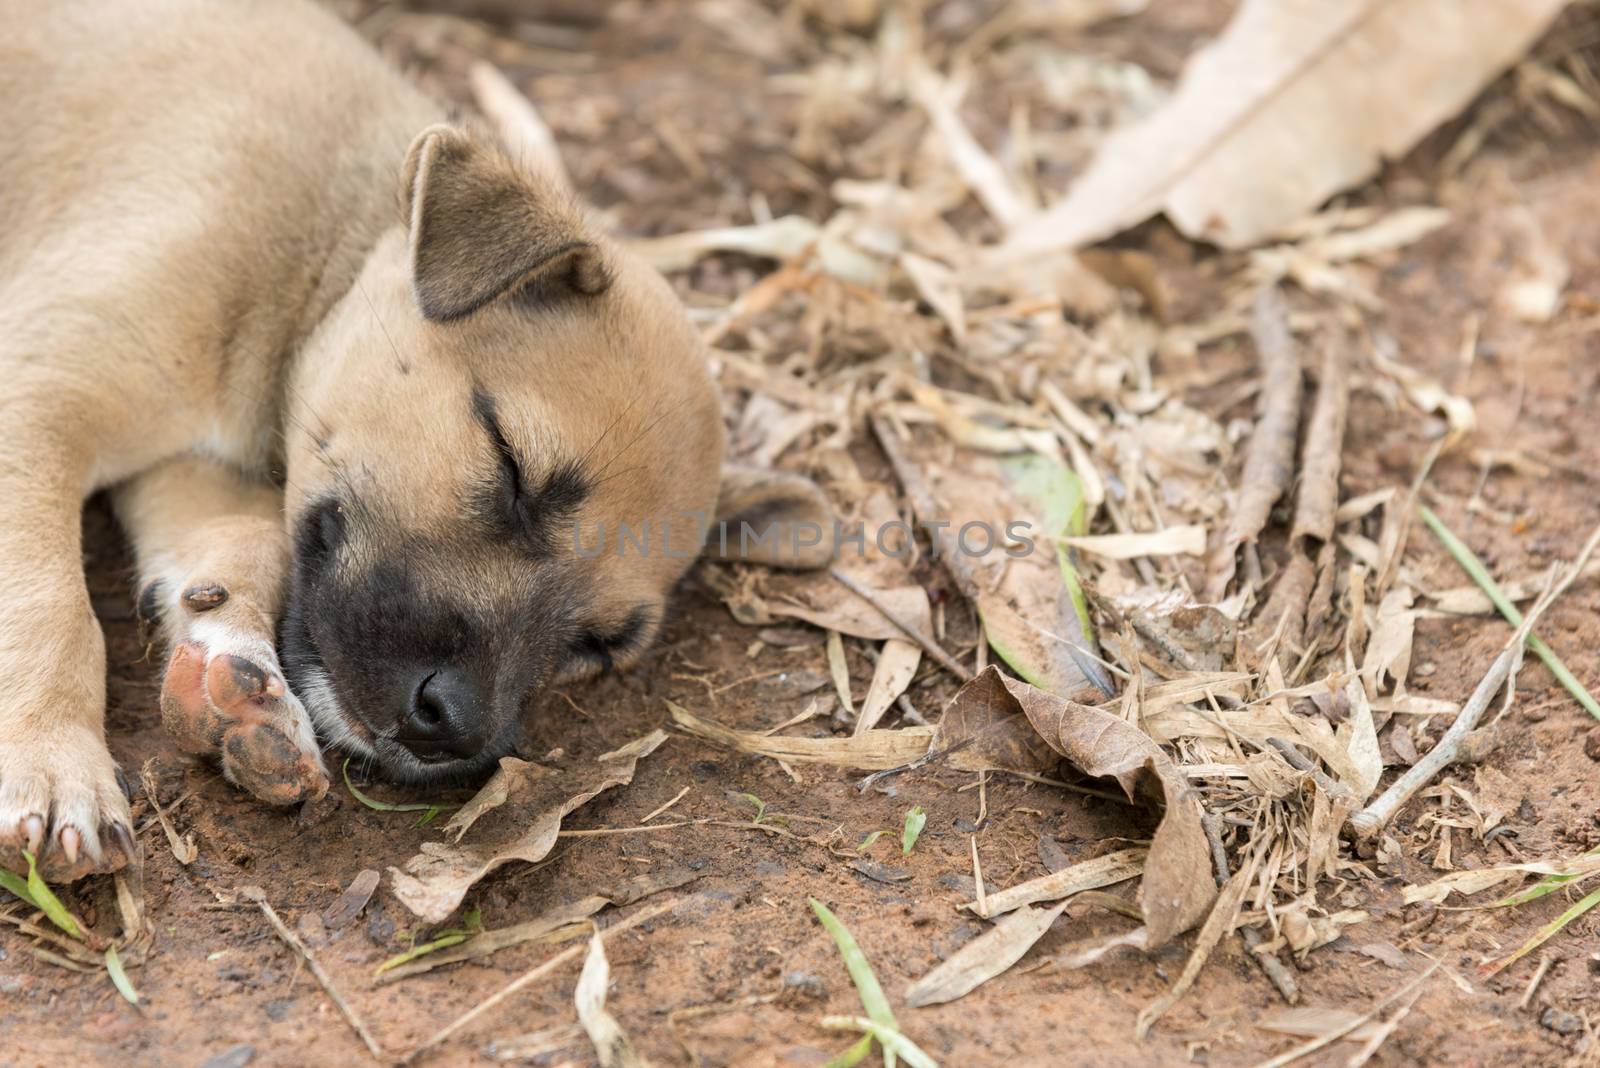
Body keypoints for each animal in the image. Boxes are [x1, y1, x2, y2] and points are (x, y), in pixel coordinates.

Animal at [9, 0, 838, 882]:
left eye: (601, 647)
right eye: (512, 467)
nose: (455, 729)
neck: (325, 243)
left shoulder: (184, 455)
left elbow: (240, 540)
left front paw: (239, 689)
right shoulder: (41, 389)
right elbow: (47, 605)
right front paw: (55, 764)